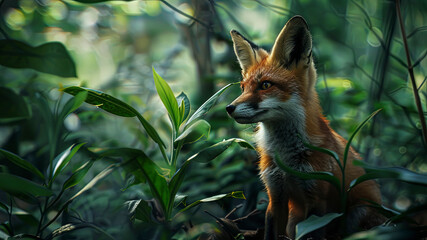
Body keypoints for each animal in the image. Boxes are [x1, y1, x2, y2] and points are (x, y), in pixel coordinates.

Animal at [227, 15, 384, 239]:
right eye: (242, 87)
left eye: (265, 85)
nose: (229, 108)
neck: (287, 160)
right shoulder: (275, 195)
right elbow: (271, 231)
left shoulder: (317, 198)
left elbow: (312, 233)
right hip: (295, 219)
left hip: (358, 212)